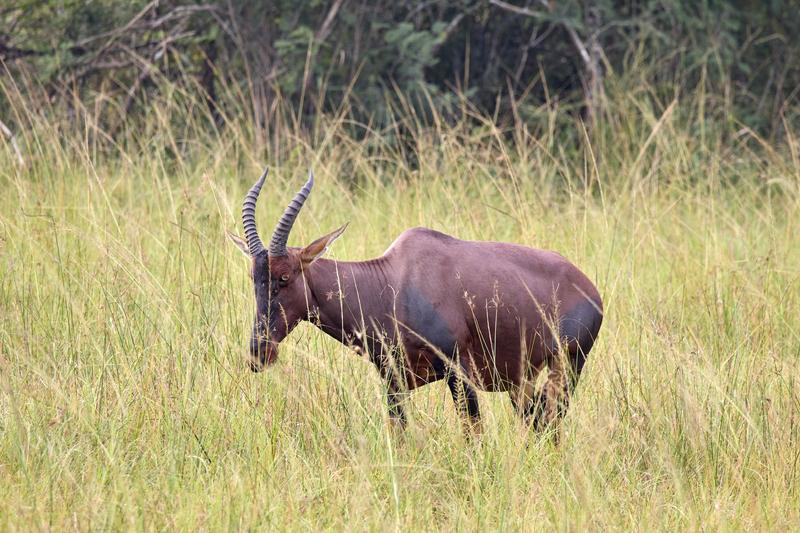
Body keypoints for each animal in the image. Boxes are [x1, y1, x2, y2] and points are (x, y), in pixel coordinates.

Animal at [228, 168, 604, 430]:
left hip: (568, 365)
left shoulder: (458, 373)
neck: (392, 282)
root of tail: (590, 289)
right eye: (253, 277)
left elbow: (473, 434)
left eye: (285, 276)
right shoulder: (394, 382)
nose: (259, 353)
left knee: (551, 419)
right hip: (523, 379)